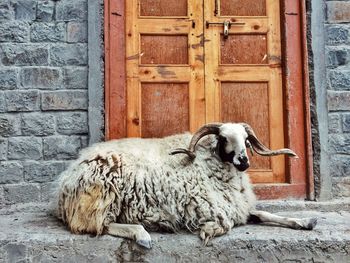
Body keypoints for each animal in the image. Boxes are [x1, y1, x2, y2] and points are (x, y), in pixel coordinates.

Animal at [55, 122, 318, 249]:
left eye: (246, 140)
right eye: (223, 138)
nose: (243, 161)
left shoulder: (236, 206)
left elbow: (265, 214)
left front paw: (306, 221)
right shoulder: (210, 208)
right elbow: (226, 224)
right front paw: (209, 231)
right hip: (103, 195)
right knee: (99, 225)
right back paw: (144, 234)